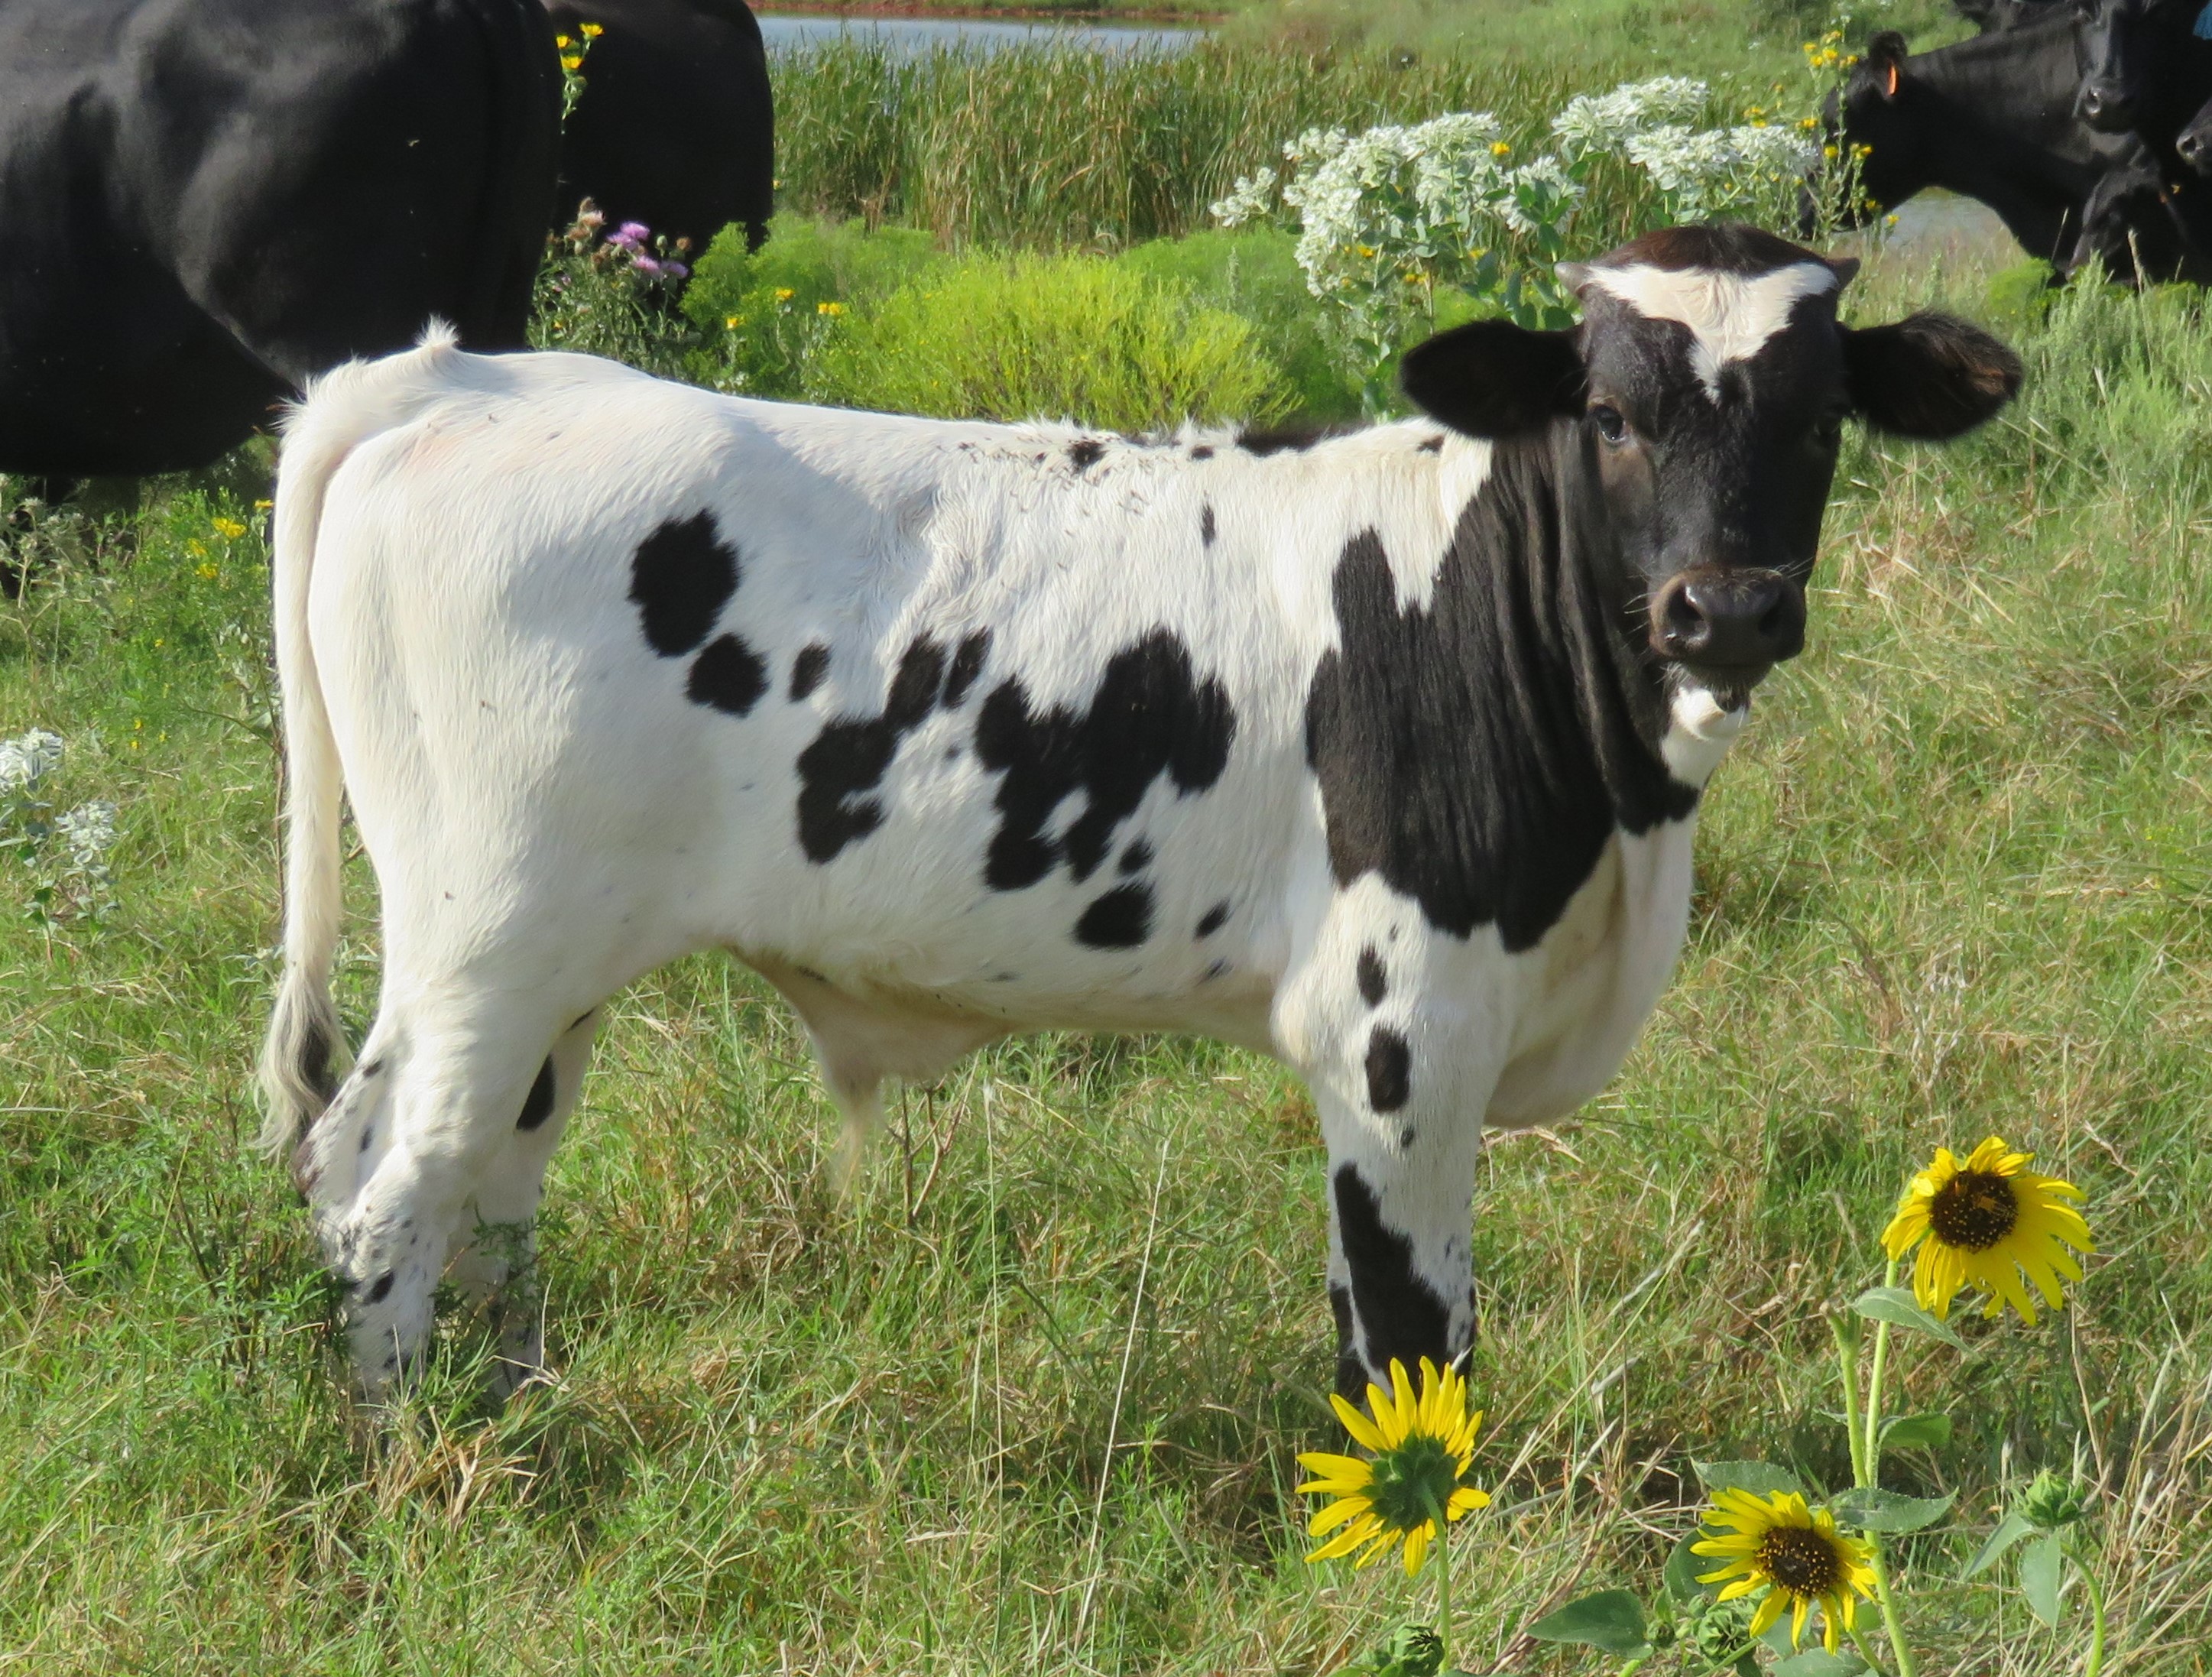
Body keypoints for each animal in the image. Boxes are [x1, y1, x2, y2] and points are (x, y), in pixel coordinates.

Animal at [258, 224, 2020, 1406]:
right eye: (1606, 411)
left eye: (1819, 415)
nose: (1723, 607)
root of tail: (459, 372)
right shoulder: (1396, 1031)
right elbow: (1410, 1334)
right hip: (485, 934)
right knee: (387, 1173)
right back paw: (413, 1459)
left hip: (560, 955)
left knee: (491, 1171)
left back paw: (520, 1411)